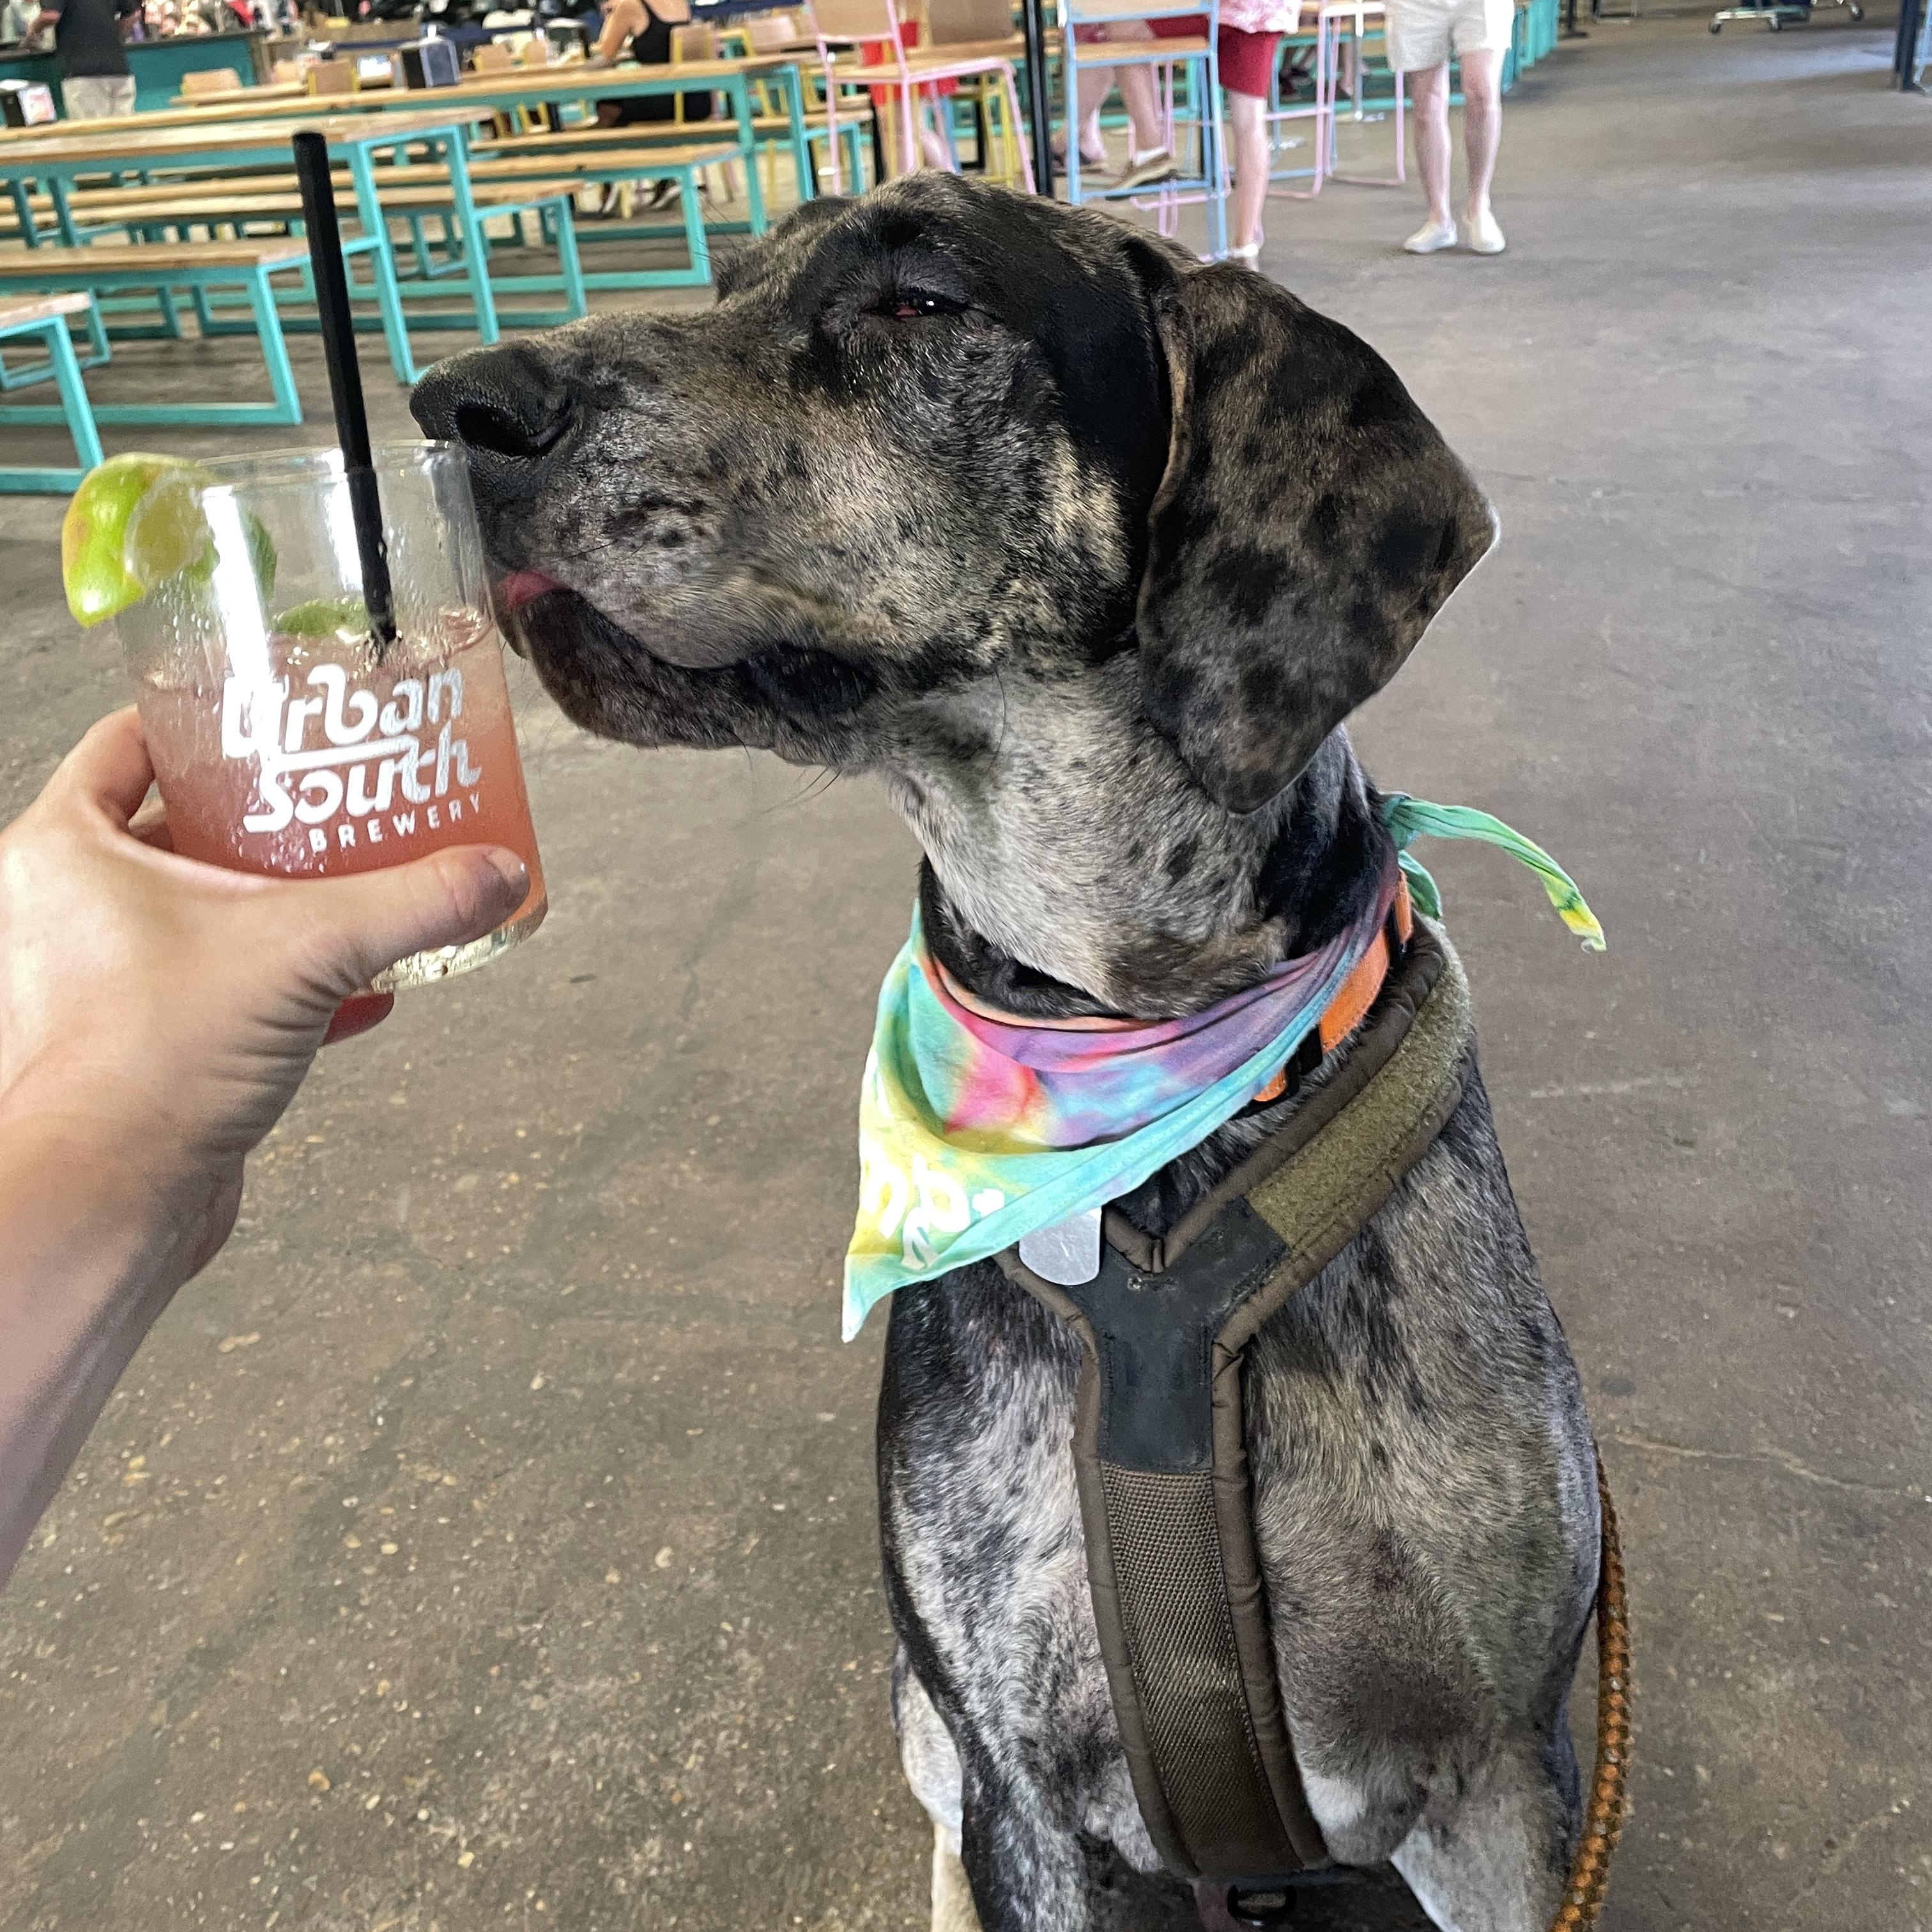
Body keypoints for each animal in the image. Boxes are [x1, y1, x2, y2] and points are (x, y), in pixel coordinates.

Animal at [412, 173, 1602, 1932]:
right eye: (726, 279)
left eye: (920, 298)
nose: (449, 406)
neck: (1144, 1060)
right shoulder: (1020, 1780)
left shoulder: (1505, 1784)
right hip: (931, 1721)